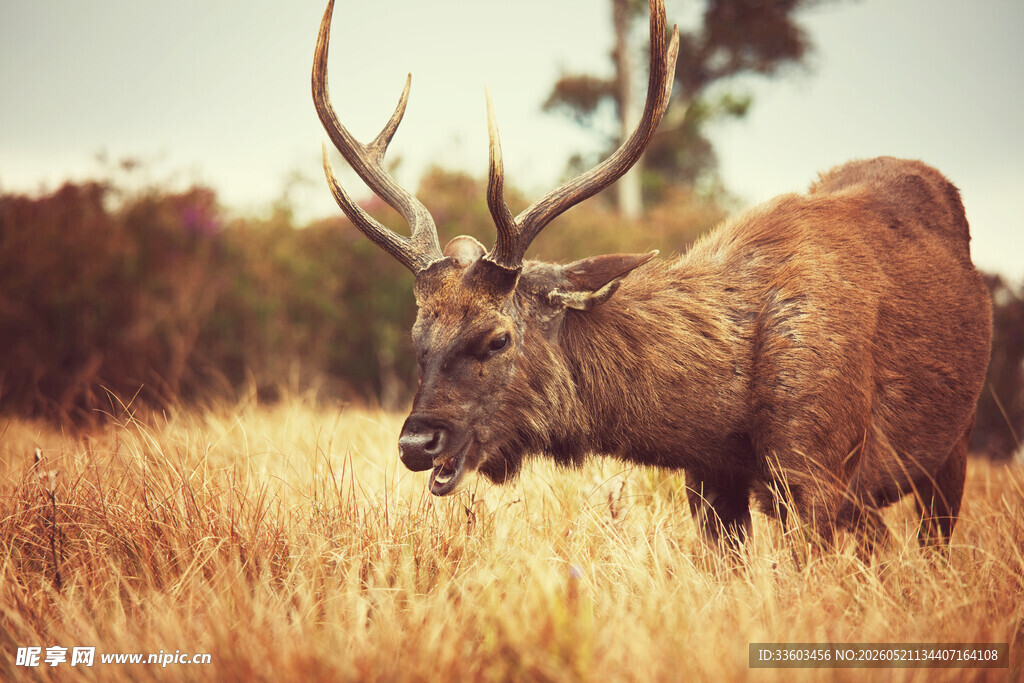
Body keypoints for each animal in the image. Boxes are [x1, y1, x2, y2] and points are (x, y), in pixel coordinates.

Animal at [311, 0, 992, 553]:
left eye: (497, 337)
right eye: (416, 339)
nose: (416, 444)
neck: (722, 415)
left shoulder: (820, 472)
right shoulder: (712, 481)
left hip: (952, 449)